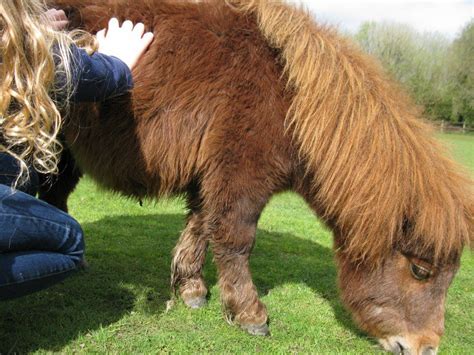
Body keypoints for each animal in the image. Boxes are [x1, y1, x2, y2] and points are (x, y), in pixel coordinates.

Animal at [45, 1, 474, 354]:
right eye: (421, 271)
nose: (426, 348)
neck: (293, 101)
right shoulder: (240, 177)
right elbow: (236, 239)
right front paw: (249, 315)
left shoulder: (210, 178)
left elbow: (199, 227)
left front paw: (192, 290)